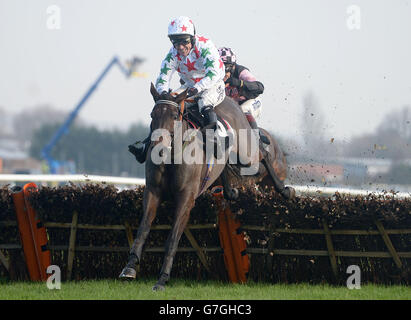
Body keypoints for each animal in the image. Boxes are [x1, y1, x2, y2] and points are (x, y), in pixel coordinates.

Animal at [120, 82, 294, 290]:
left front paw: (162, 279)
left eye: (174, 115)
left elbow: (173, 239)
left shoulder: (186, 199)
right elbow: (143, 229)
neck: (172, 157)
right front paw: (129, 267)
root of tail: (231, 101)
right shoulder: (153, 192)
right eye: (152, 114)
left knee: (263, 155)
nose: (157, 147)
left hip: (247, 154)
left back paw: (284, 189)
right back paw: (231, 192)